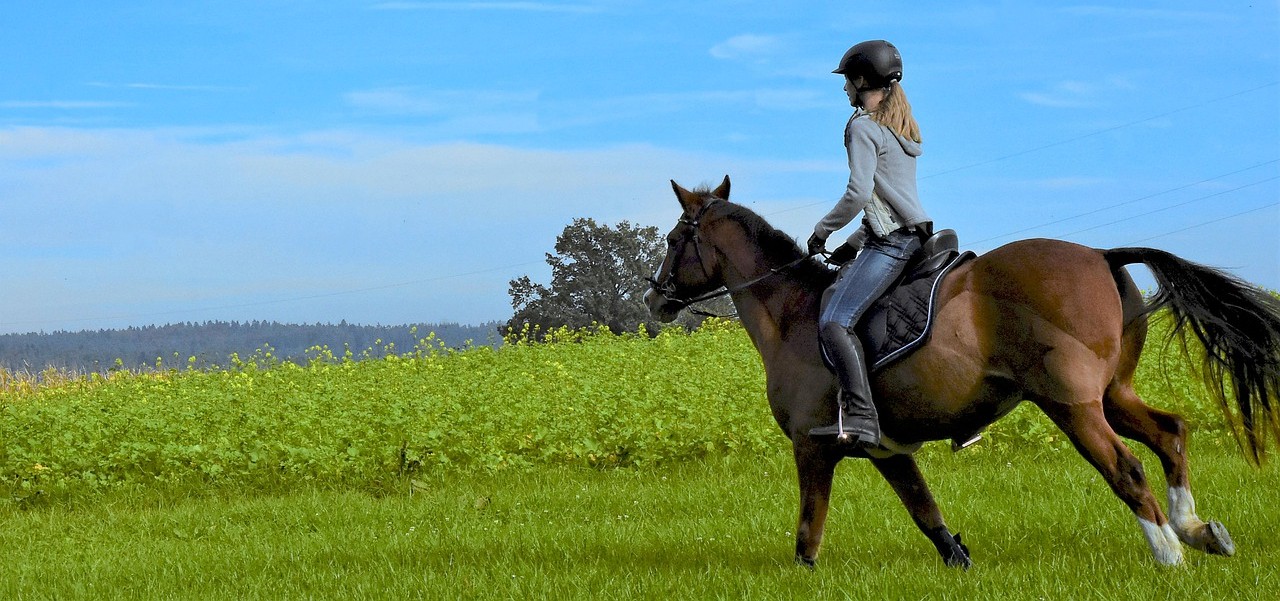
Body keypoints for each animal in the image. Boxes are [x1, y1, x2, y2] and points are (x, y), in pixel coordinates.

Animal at [644, 176, 1280, 568]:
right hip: (1113, 395)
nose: (654, 298)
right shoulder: (887, 451)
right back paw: (1198, 530)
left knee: (1126, 468)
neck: (793, 314)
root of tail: (1102, 255)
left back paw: (1170, 554)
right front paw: (959, 561)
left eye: (675, 238)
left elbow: (808, 531)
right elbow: (927, 515)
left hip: (1073, 406)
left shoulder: (812, 446)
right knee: (1171, 434)